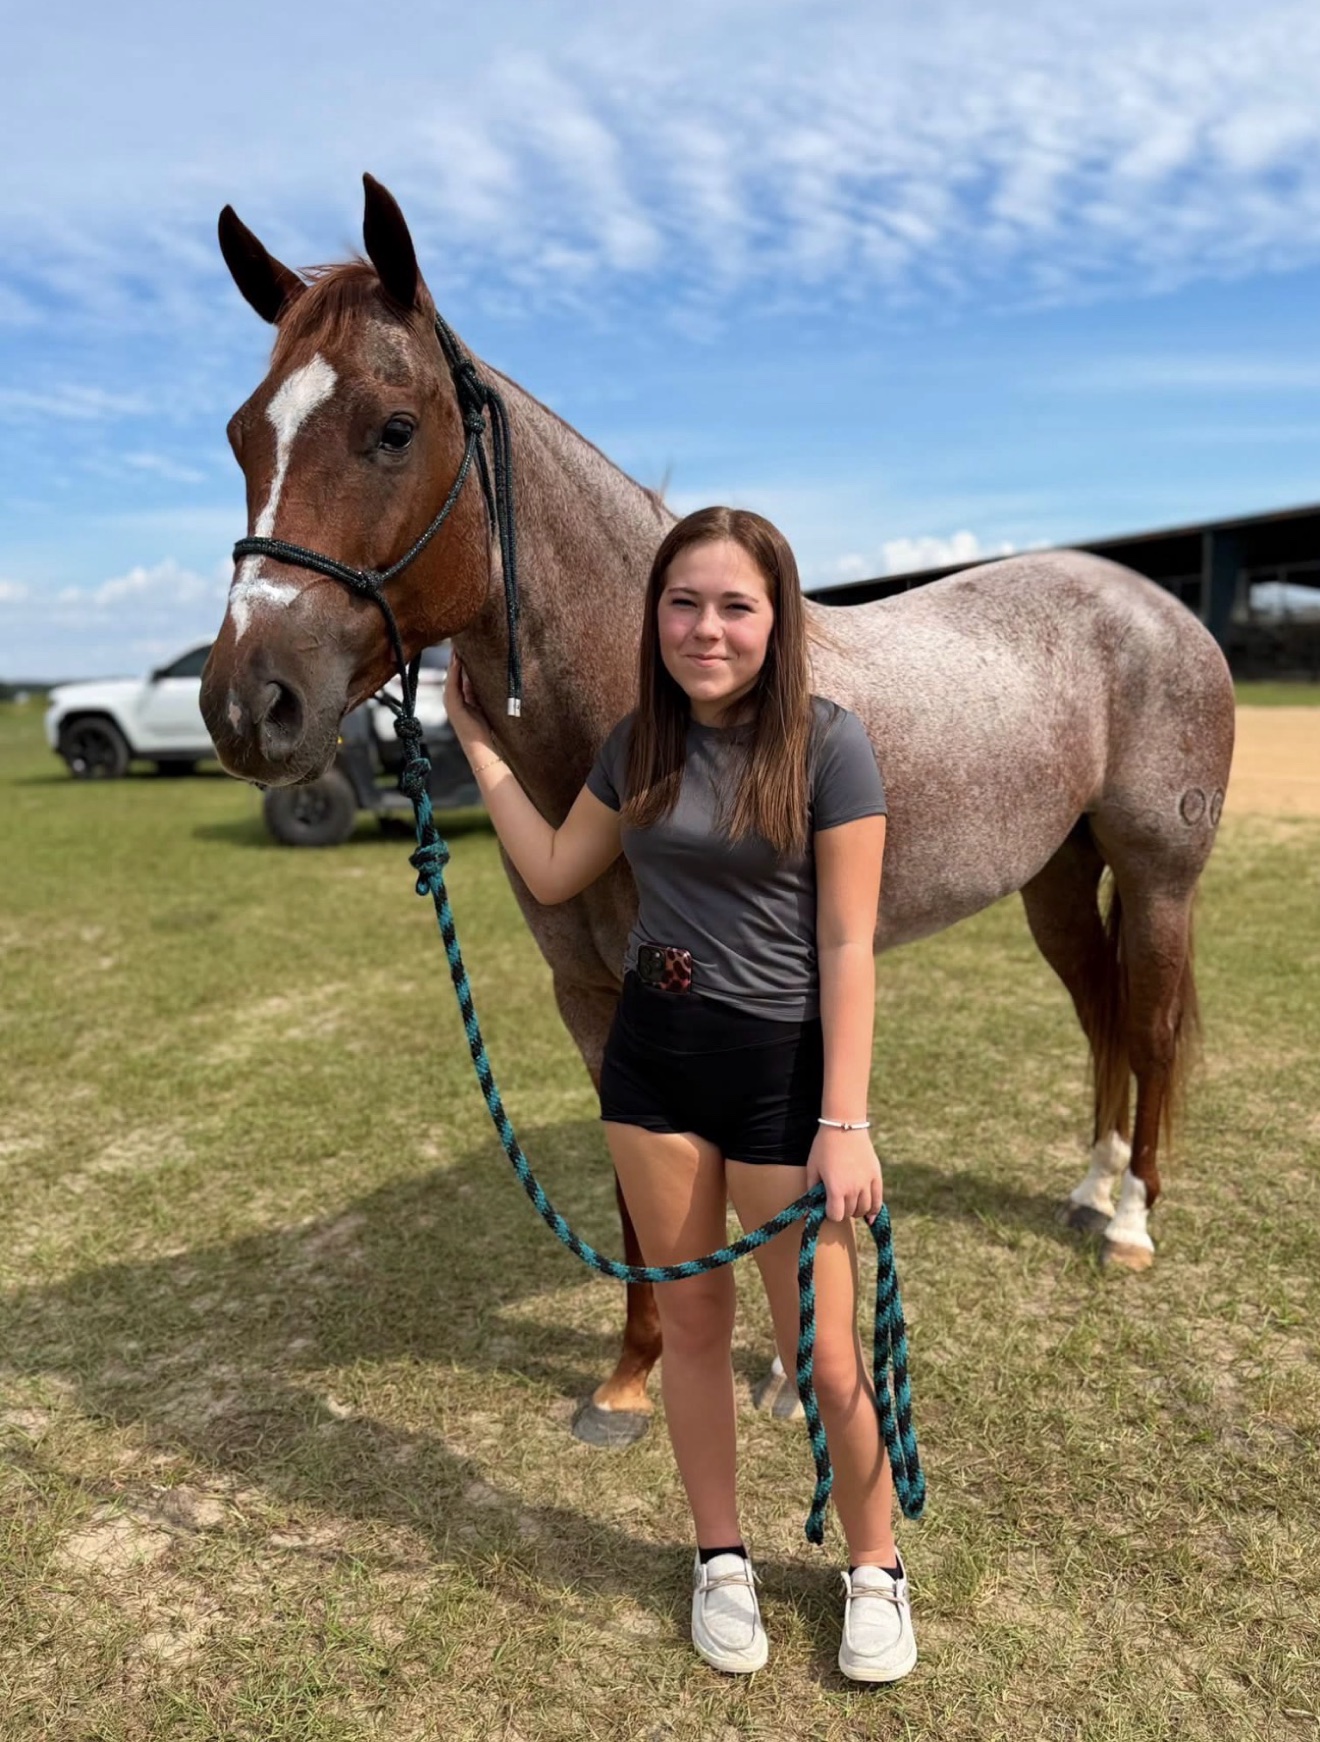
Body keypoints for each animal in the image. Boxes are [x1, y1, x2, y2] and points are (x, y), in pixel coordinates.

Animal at [200, 174, 1235, 1450]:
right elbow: (641, 1191)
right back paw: (1091, 1187)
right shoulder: (596, 998)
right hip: (1052, 876)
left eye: (394, 427)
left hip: (1158, 875)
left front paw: (790, 1373)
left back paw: (1131, 1218)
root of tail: (1153, 604)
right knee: (1099, 1014)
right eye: (244, 433)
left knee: (1148, 1023)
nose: (249, 704)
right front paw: (634, 1376)